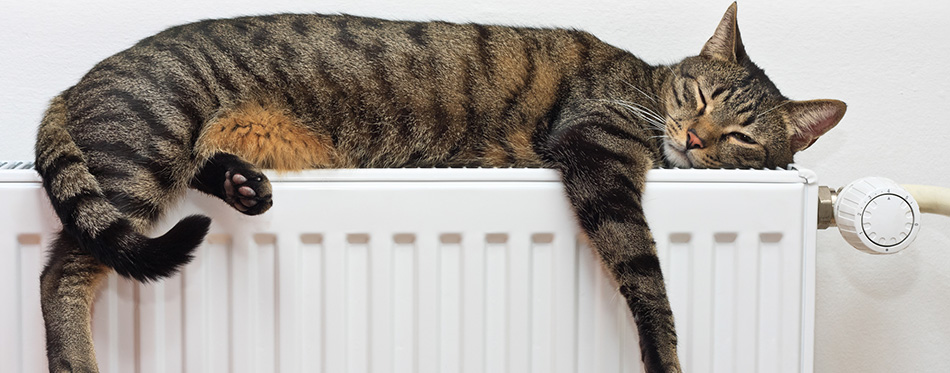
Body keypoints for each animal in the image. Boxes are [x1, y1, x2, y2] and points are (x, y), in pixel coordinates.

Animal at [33, 3, 848, 372]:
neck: (647, 90)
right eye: (701, 95)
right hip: (143, 149)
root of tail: (75, 85)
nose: (695, 139)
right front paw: (667, 356)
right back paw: (76, 360)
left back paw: (238, 183)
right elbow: (646, 275)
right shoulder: (596, 151)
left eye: (744, 138)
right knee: (60, 270)